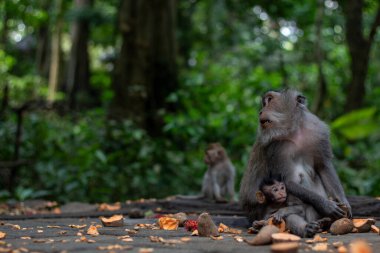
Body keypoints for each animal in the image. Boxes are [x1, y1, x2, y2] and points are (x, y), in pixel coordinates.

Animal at [239, 90, 352, 224]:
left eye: (270, 100)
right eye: (264, 102)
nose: (260, 111)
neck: (295, 131)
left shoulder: (319, 132)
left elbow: (323, 167)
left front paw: (343, 201)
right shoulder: (278, 148)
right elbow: (290, 181)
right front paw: (326, 205)